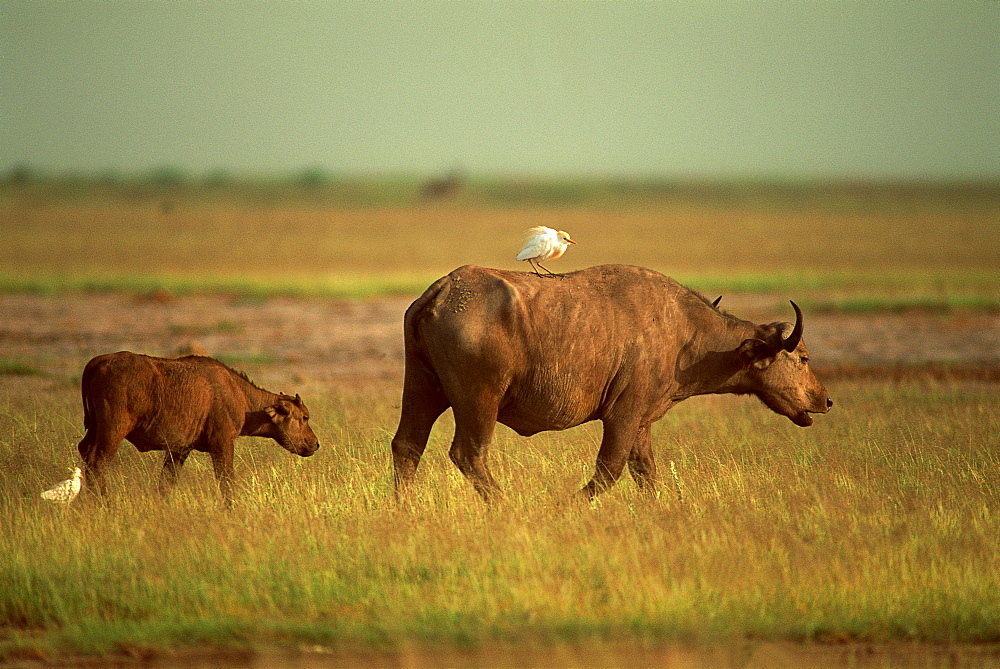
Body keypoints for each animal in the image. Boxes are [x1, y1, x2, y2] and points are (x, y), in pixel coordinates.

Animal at [78, 352, 320, 504]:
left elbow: (166, 483)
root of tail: (99, 361)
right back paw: (105, 504)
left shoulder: (179, 450)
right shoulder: (222, 445)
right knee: (97, 462)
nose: (315, 443)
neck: (239, 395)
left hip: (95, 430)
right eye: (305, 417)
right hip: (113, 431)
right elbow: (226, 481)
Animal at [390, 264, 836, 500]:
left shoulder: (641, 424)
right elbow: (610, 469)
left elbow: (645, 473)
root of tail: (442, 291)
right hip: (478, 401)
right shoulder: (623, 416)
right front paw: (566, 505)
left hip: (423, 390)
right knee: (468, 454)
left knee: (407, 446)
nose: (825, 400)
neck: (686, 335)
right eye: (804, 358)